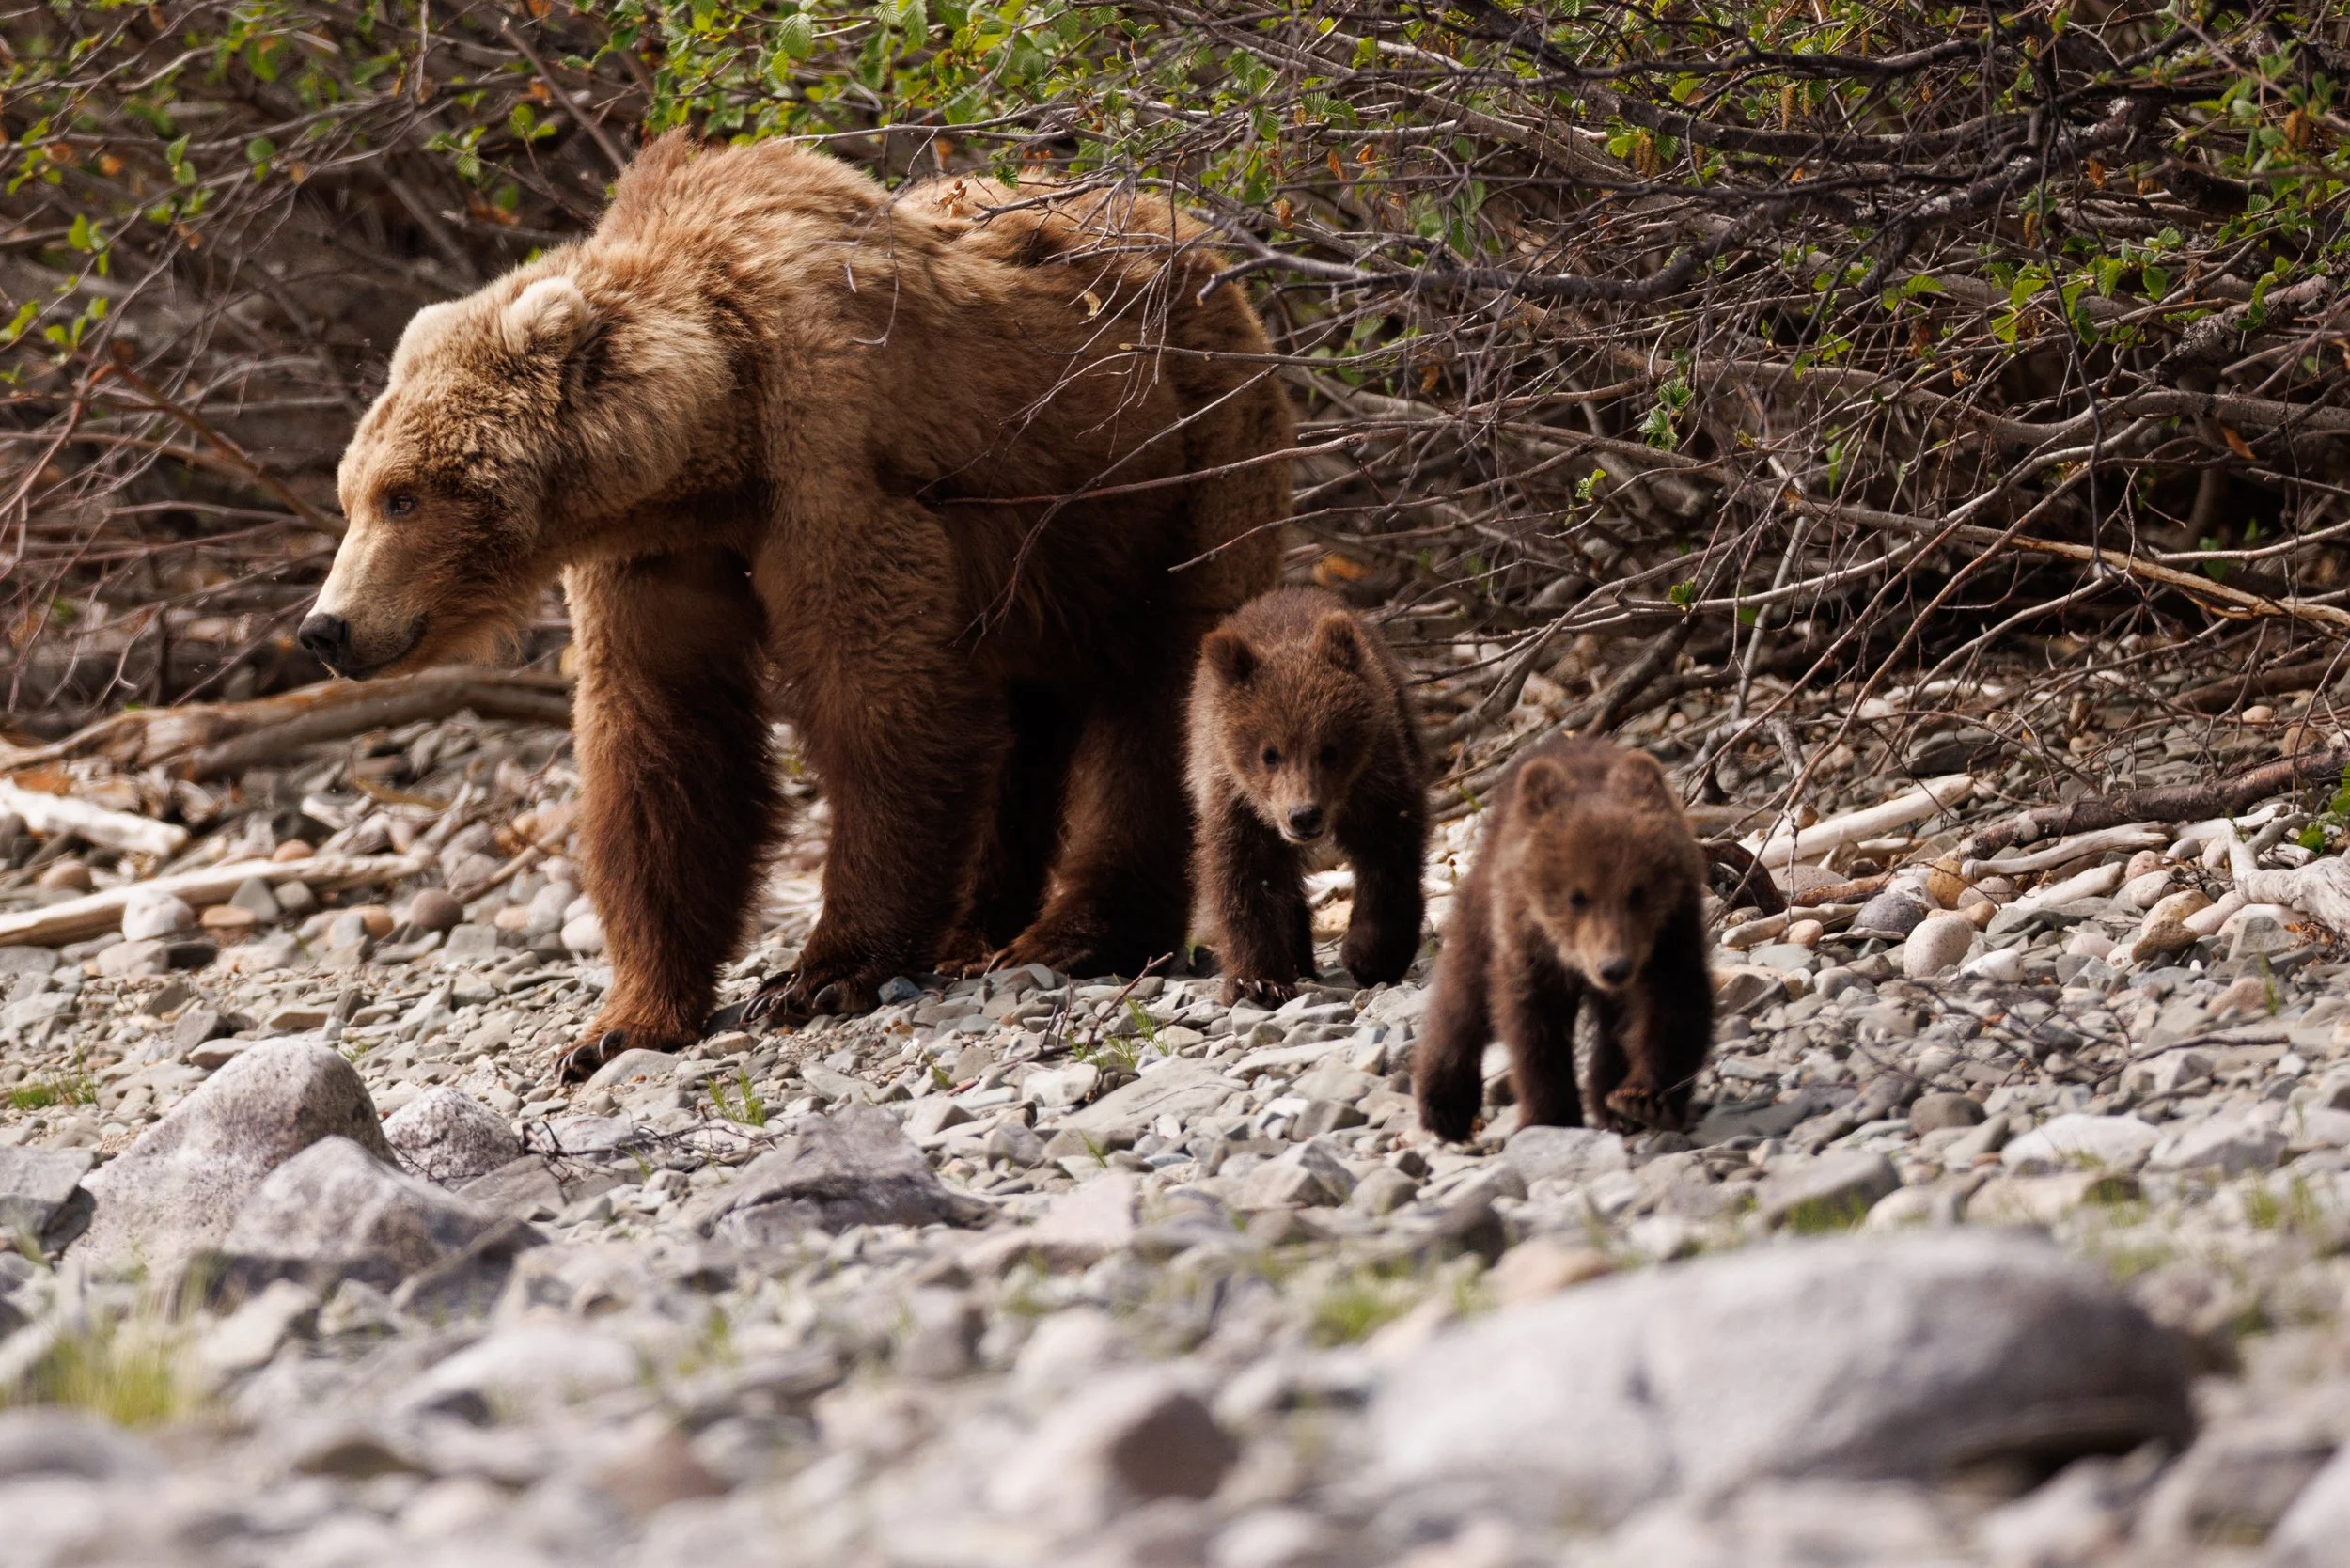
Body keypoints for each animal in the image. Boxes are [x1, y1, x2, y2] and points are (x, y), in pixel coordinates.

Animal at [299, 134, 1291, 1080]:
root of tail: (1203, 240)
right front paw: (619, 1023)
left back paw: (1076, 932)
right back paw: (974, 930)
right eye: (351, 494)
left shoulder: (832, 464)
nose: (325, 627)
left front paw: (819, 974)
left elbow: (879, 699)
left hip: (1180, 474)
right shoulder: (652, 560)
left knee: (1158, 692)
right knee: (1019, 724)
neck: (712, 438)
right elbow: (664, 742)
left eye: (403, 496)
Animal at [1187, 587, 1427, 1004]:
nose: (1303, 815)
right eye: (1269, 754)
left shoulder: (1376, 779)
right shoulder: (1234, 801)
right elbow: (1246, 877)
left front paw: (1371, 956)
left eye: (1329, 750)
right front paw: (1258, 981)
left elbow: (1388, 854)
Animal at [1411, 735, 1713, 1142]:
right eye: (1577, 896)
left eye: (1638, 892)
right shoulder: (1529, 946)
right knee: (1463, 993)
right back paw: (1443, 1104)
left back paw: (1610, 1102)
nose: (1614, 967)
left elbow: (1675, 1006)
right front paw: (1551, 1115)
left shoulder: (1669, 933)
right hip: (1483, 905)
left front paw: (1644, 1099)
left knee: (1615, 1026)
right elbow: (1534, 1026)